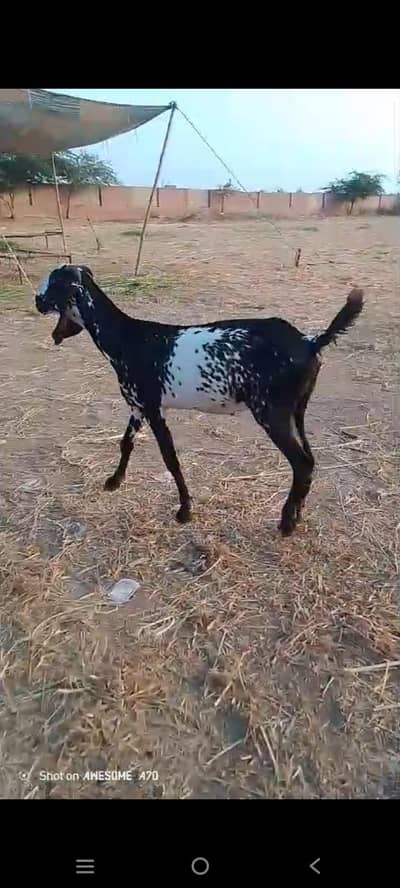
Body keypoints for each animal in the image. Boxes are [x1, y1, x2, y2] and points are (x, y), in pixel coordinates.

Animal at [35, 266, 364, 536]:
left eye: (53, 284)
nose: (36, 301)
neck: (127, 340)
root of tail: (311, 342)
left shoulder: (153, 407)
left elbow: (170, 457)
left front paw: (184, 511)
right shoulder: (137, 405)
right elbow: (126, 443)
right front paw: (114, 482)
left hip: (272, 411)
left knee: (301, 462)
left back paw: (286, 524)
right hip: (297, 409)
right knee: (309, 458)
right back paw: (296, 516)